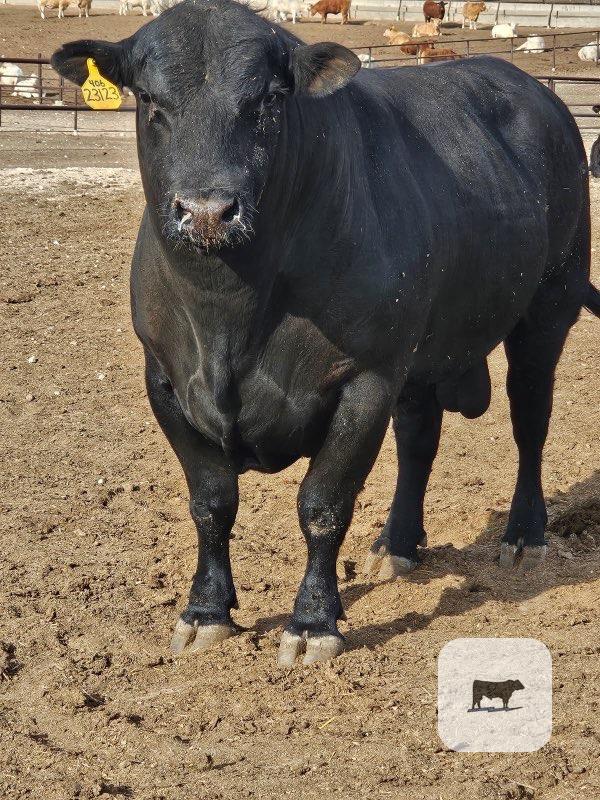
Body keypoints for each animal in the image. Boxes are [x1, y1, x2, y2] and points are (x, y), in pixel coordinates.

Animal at [51, 0, 599, 666]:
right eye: (151, 102)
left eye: (266, 101)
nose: (208, 211)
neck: (230, 317)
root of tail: (533, 90)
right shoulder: (165, 377)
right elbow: (211, 502)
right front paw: (205, 611)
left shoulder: (365, 377)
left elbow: (323, 503)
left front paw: (313, 623)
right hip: (419, 348)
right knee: (420, 437)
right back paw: (398, 543)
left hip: (548, 307)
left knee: (530, 423)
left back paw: (524, 534)